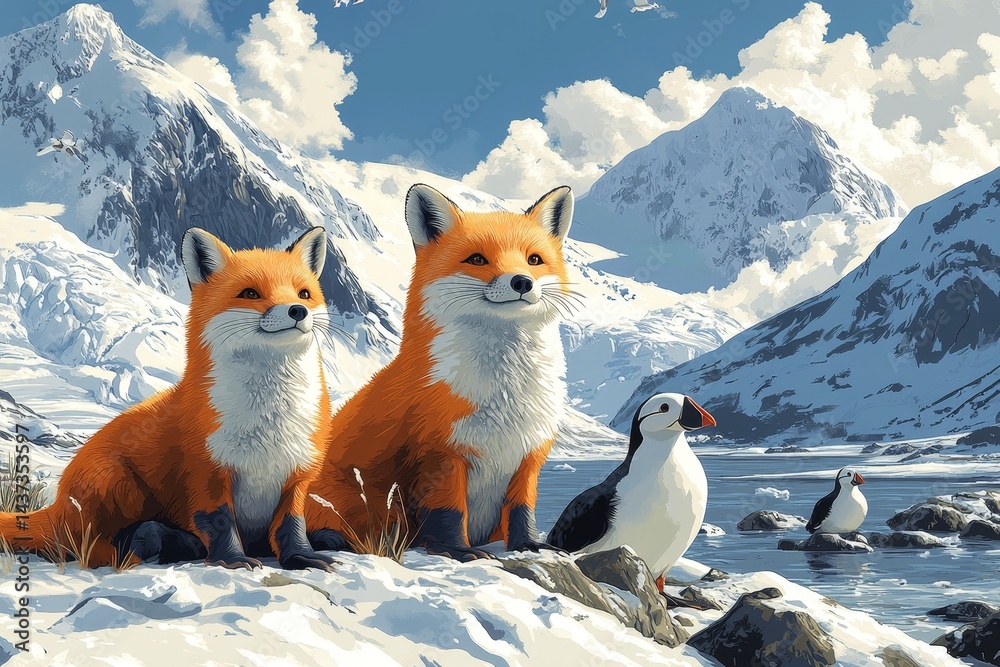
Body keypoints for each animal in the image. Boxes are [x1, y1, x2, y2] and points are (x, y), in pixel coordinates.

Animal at [0, 227, 337, 571]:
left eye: (303, 294)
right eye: (250, 293)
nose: (297, 311)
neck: (269, 423)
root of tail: (55, 506)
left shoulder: (298, 475)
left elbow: (291, 525)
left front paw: (302, 556)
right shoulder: (205, 473)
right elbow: (219, 522)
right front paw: (232, 560)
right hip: (118, 483)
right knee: (93, 548)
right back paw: (155, 542)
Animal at [304, 184, 576, 561]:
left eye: (534, 260)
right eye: (477, 259)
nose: (522, 282)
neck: (505, 398)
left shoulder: (528, 455)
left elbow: (522, 510)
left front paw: (529, 546)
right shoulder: (441, 453)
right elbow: (449, 512)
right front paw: (458, 551)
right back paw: (329, 539)